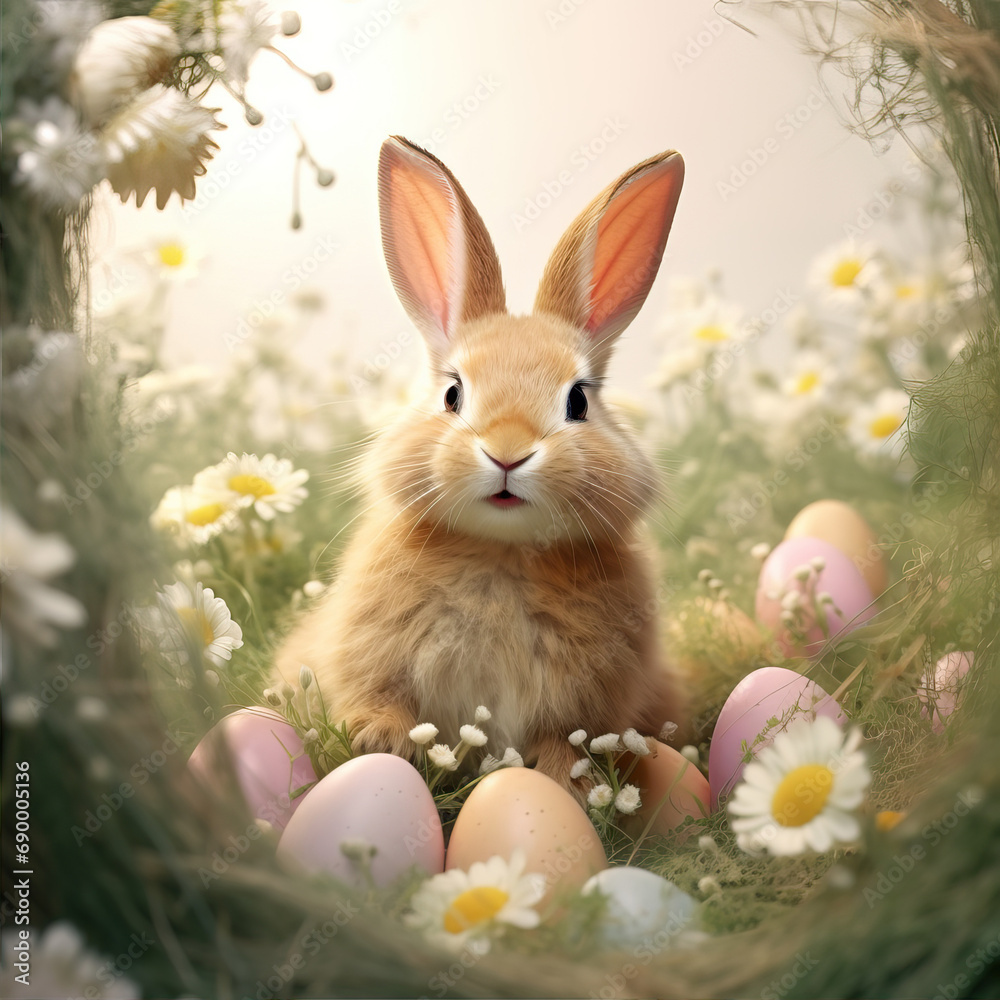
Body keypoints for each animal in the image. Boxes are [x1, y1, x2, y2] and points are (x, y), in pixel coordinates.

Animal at [275, 135, 687, 792]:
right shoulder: (367, 657)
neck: (502, 550)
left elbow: (565, 741)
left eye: (578, 401)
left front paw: (559, 780)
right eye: (453, 394)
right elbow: (375, 697)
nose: (508, 451)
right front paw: (380, 742)